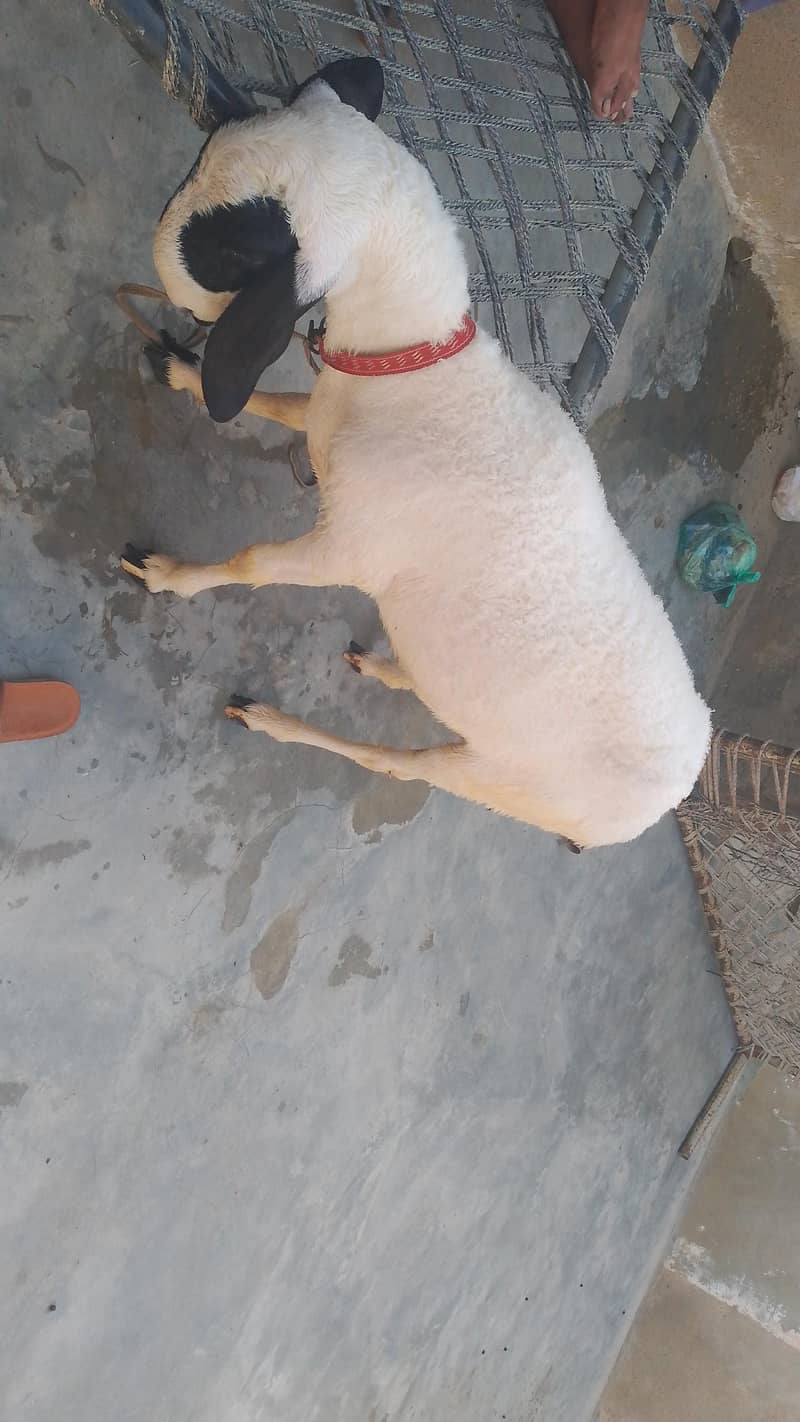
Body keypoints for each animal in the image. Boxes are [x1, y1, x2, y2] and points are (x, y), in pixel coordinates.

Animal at [122, 57, 710, 849]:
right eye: (204, 153)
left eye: (235, 245)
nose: (164, 270)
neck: (414, 369)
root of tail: (687, 771)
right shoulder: (327, 413)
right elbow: (272, 404)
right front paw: (184, 374)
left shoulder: (352, 547)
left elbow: (251, 563)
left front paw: (167, 575)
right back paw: (390, 669)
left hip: (507, 784)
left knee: (401, 767)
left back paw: (272, 720)